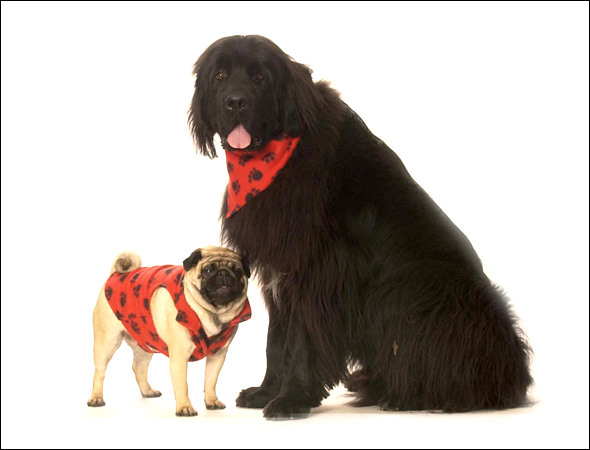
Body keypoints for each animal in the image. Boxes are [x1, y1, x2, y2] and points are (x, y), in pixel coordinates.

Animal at [87, 246, 251, 416]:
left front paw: (212, 401)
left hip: (146, 343)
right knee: (99, 371)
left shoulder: (217, 356)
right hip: (107, 342)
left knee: (138, 367)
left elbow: (210, 381)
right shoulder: (179, 357)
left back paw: (147, 391)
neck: (213, 313)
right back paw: (96, 398)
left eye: (238, 271)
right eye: (207, 270)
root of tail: (115, 274)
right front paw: (185, 407)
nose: (223, 273)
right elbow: (182, 385)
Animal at [188, 35, 533, 419]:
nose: (236, 102)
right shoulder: (279, 268)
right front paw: (266, 392)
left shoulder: (319, 271)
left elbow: (300, 339)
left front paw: (291, 398)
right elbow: (276, 339)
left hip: (418, 292)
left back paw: (404, 396)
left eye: (261, 76)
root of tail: (514, 375)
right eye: (219, 75)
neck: (276, 158)